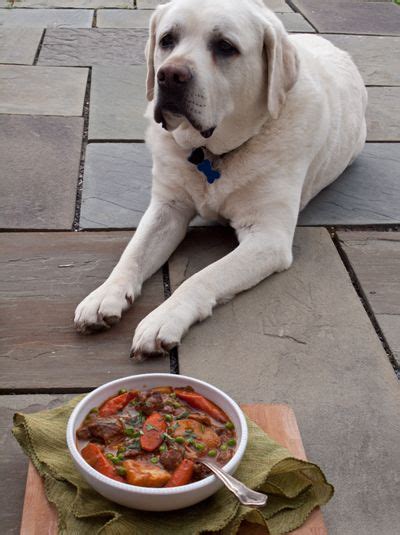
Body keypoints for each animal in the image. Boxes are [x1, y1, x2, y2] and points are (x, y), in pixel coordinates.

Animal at [73, 1, 368, 360]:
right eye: (167, 40)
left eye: (225, 46)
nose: (169, 75)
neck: (211, 154)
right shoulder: (167, 208)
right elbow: (133, 253)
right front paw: (104, 295)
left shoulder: (267, 237)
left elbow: (202, 277)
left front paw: (163, 318)